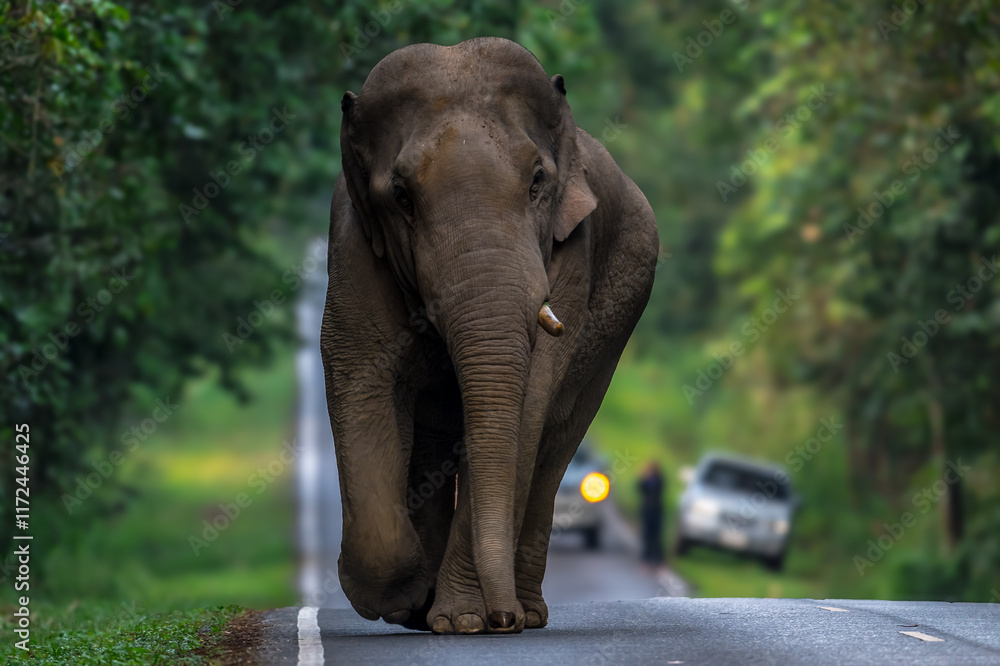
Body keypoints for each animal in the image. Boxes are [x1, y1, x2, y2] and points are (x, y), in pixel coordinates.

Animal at [321, 36, 658, 635]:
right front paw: (404, 600)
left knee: (555, 441)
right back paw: (425, 613)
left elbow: (526, 405)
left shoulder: (570, 254)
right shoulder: (353, 245)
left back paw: (526, 611)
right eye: (401, 196)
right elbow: (358, 376)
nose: (504, 620)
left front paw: (461, 620)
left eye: (538, 181)